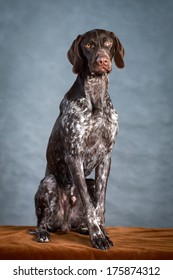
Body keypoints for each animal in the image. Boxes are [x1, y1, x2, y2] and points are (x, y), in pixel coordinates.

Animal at [33, 29, 124, 250]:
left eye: (108, 43)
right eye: (89, 45)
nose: (102, 60)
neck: (96, 96)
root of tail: (65, 225)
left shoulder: (106, 158)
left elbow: (99, 205)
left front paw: (103, 232)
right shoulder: (74, 156)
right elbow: (89, 205)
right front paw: (97, 237)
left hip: (90, 182)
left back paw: (83, 228)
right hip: (49, 182)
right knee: (40, 222)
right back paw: (42, 233)